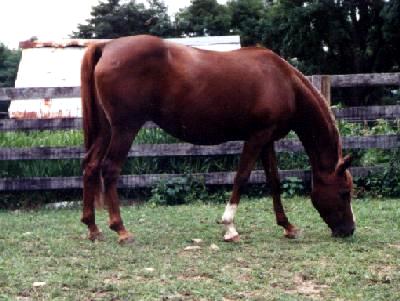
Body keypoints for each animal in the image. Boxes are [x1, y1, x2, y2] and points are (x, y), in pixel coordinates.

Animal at [79, 34, 354, 244]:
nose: (349, 230)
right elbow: (242, 177)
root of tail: (106, 46)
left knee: (91, 166)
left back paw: (93, 228)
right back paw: (120, 229)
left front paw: (287, 226)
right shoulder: (257, 136)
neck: (283, 80)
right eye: (344, 193)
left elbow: (274, 181)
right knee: (110, 169)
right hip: (125, 129)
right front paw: (230, 228)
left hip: (106, 130)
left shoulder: (267, 140)